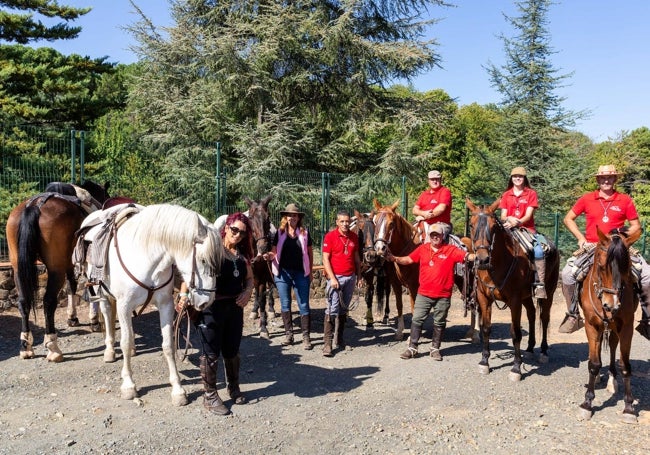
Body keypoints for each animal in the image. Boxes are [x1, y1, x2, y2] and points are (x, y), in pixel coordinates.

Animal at [5, 182, 107, 364]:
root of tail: (35, 206)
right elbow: (89, 289)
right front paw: (94, 321)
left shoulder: (69, 263)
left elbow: (72, 286)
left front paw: (72, 318)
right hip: (55, 270)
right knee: (48, 302)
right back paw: (53, 347)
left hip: (18, 269)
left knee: (23, 302)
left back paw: (26, 347)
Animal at [86, 205, 224, 408]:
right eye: (203, 260)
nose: (207, 301)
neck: (145, 257)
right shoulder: (124, 305)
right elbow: (124, 342)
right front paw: (128, 385)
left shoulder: (165, 305)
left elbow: (168, 345)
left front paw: (178, 390)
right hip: (102, 294)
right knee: (108, 316)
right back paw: (109, 350)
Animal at [370, 198, 420, 340]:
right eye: (375, 222)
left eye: (391, 224)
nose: (380, 248)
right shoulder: (396, 284)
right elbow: (399, 305)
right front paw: (399, 332)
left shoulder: (413, 286)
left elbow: (414, 308)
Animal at [466, 199, 556, 382]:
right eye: (471, 225)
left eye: (494, 227)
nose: (482, 259)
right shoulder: (484, 298)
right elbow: (486, 328)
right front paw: (484, 362)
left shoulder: (515, 301)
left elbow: (515, 333)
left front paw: (516, 368)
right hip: (526, 297)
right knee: (532, 314)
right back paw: (529, 349)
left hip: (549, 292)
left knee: (544, 318)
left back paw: (543, 352)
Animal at [576, 227, 636, 424]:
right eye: (602, 267)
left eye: (626, 268)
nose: (611, 305)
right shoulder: (591, 326)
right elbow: (594, 364)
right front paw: (587, 403)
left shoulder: (627, 327)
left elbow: (625, 366)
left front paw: (629, 407)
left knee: (612, 346)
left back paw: (611, 379)